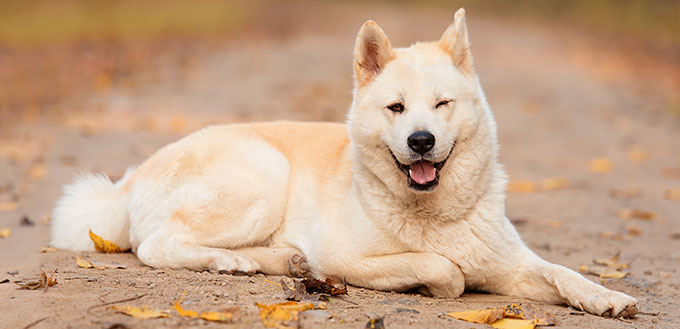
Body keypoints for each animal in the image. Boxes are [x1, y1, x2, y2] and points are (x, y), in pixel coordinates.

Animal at [51, 9, 636, 318]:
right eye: (396, 108)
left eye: (442, 104)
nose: (421, 141)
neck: (437, 213)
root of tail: (128, 180)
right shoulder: (346, 258)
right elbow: (444, 269)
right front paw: (436, 283)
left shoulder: (514, 264)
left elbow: (564, 273)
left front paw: (610, 298)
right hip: (263, 178)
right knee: (157, 245)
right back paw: (229, 262)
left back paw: (280, 262)